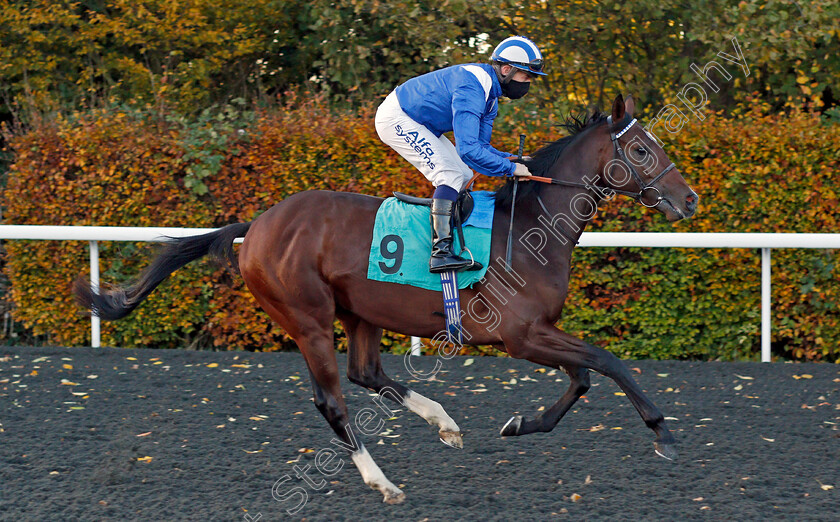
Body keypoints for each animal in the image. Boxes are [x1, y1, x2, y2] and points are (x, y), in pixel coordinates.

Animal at [75, 95, 700, 502]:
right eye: (640, 150)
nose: (689, 199)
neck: (529, 228)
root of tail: (257, 224)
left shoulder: (537, 333)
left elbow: (585, 376)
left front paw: (520, 424)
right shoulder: (522, 336)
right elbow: (607, 361)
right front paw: (664, 433)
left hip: (361, 313)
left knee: (366, 372)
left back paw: (443, 422)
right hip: (307, 318)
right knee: (333, 400)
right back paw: (383, 482)